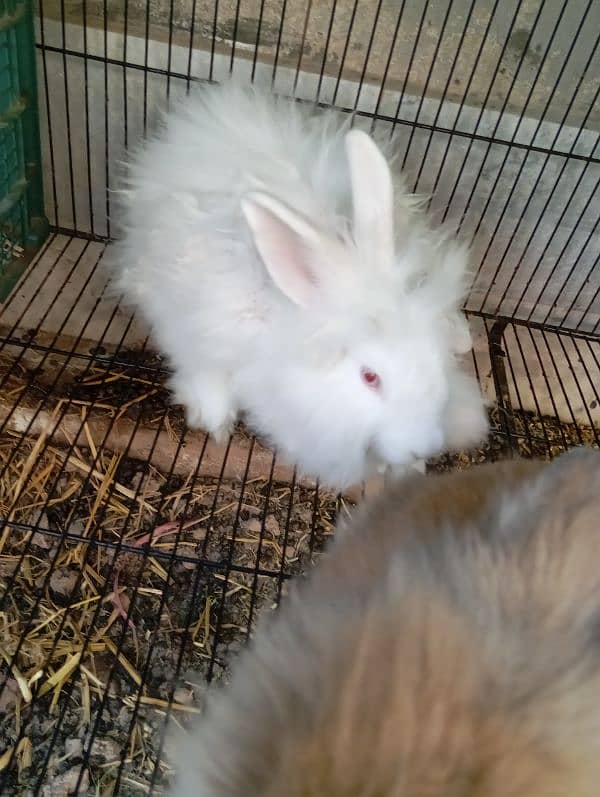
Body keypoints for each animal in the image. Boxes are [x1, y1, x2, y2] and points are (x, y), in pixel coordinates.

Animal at [111, 82, 488, 492]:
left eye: (437, 361)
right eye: (370, 377)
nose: (425, 447)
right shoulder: (197, 327)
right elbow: (206, 375)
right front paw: (215, 422)